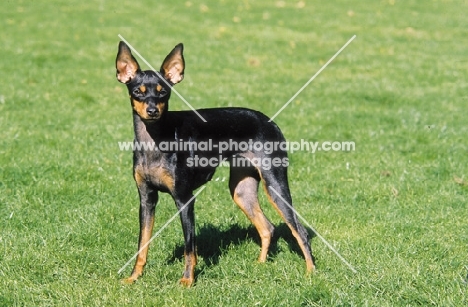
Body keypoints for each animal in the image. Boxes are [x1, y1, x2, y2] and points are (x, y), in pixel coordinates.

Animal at [116, 41, 314, 286]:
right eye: (138, 92)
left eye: (164, 92)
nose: (152, 111)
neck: (156, 138)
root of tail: (270, 122)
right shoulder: (146, 198)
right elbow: (142, 243)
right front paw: (134, 277)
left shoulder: (185, 199)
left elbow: (190, 247)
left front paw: (187, 281)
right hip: (241, 190)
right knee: (267, 227)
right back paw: (260, 265)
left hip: (275, 184)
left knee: (300, 231)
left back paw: (310, 273)